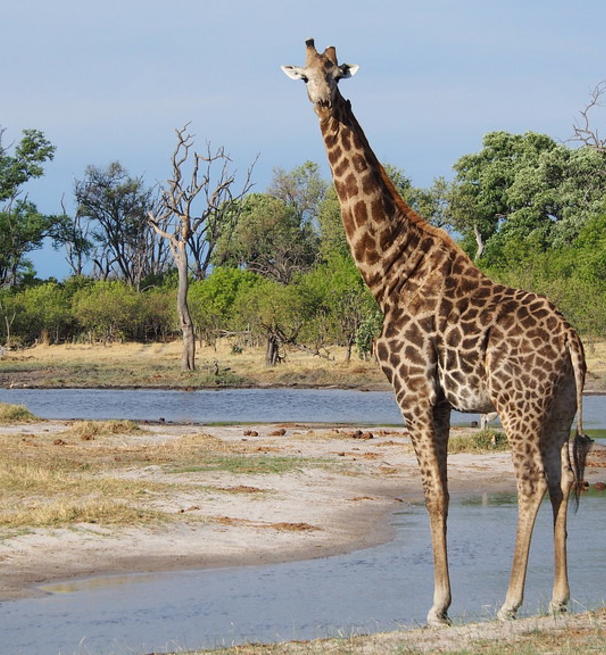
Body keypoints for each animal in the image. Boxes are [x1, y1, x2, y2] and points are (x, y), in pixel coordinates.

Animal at [281, 39, 593, 626]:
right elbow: (443, 493)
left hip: (517, 403)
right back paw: (559, 598)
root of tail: (570, 337)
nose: (325, 102)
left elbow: (433, 494)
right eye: (304, 77)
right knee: (562, 481)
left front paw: (438, 607)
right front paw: (444, 602)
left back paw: (510, 602)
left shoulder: (413, 392)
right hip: (560, 404)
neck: (387, 269)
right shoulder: (442, 400)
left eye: (336, 73)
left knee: (530, 481)